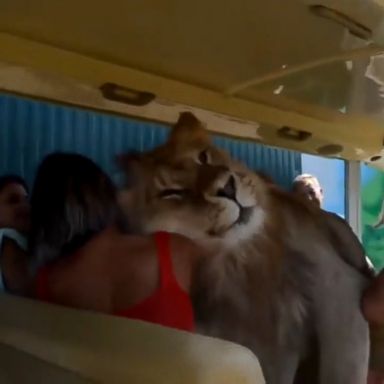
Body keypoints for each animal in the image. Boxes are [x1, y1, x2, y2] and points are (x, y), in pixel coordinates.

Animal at [119, 112, 372, 384]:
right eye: (172, 193)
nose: (227, 187)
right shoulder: (256, 342)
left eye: (203, 157)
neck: (247, 260)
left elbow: (342, 368)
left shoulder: (337, 287)